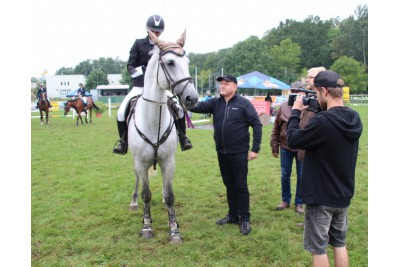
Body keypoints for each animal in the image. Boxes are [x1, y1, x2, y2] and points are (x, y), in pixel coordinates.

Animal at [127, 30, 198, 244]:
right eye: (170, 62)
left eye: (187, 61)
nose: (192, 98)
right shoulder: (141, 162)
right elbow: (146, 195)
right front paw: (146, 226)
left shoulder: (168, 161)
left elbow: (170, 194)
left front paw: (174, 229)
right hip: (135, 161)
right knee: (136, 179)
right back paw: (133, 202)